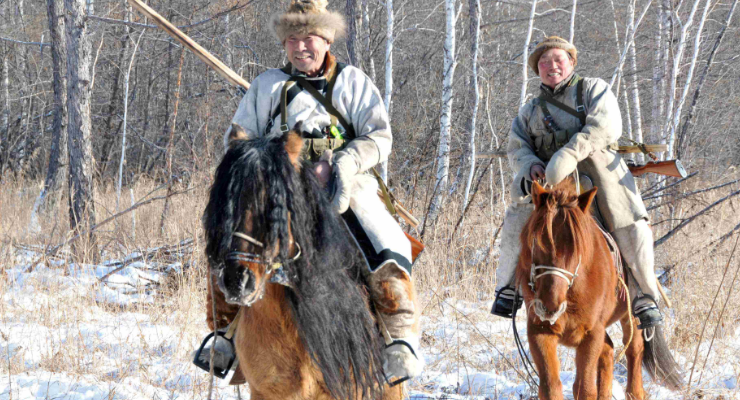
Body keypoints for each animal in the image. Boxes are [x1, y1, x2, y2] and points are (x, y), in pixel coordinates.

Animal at [516, 180, 684, 400]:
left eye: (576, 248)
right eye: (536, 241)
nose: (549, 306)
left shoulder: (591, 334)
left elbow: (584, 388)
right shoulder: (540, 332)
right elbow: (550, 387)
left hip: (631, 316)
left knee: (634, 348)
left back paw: (635, 391)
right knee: (608, 351)